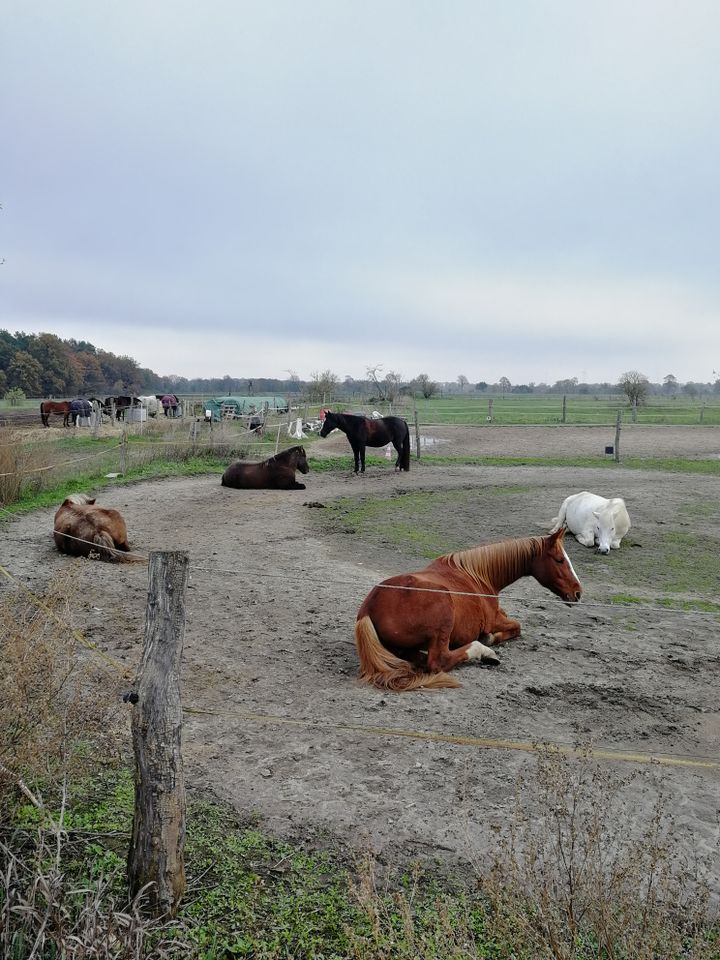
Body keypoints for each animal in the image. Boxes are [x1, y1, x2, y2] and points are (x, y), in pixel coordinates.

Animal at [358, 524, 584, 688]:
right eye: (560, 560)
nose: (578, 592)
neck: (478, 576)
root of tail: (368, 609)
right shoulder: (494, 620)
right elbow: (517, 627)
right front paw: (489, 638)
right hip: (443, 621)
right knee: (439, 661)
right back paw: (484, 652)